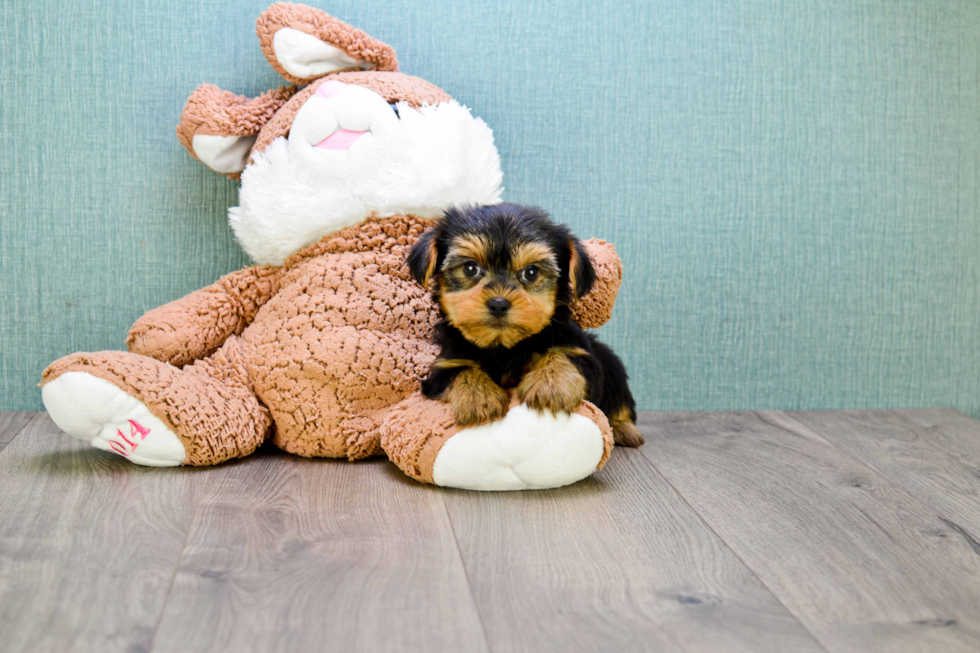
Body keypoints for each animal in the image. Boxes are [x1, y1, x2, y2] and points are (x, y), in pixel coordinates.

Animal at [406, 204, 644, 448]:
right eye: (470, 268)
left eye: (531, 272)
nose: (498, 303)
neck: (503, 347)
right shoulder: (445, 364)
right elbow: (460, 370)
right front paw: (478, 397)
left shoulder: (581, 353)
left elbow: (564, 355)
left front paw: (550, 384)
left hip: (612, 365)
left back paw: (624, 429)